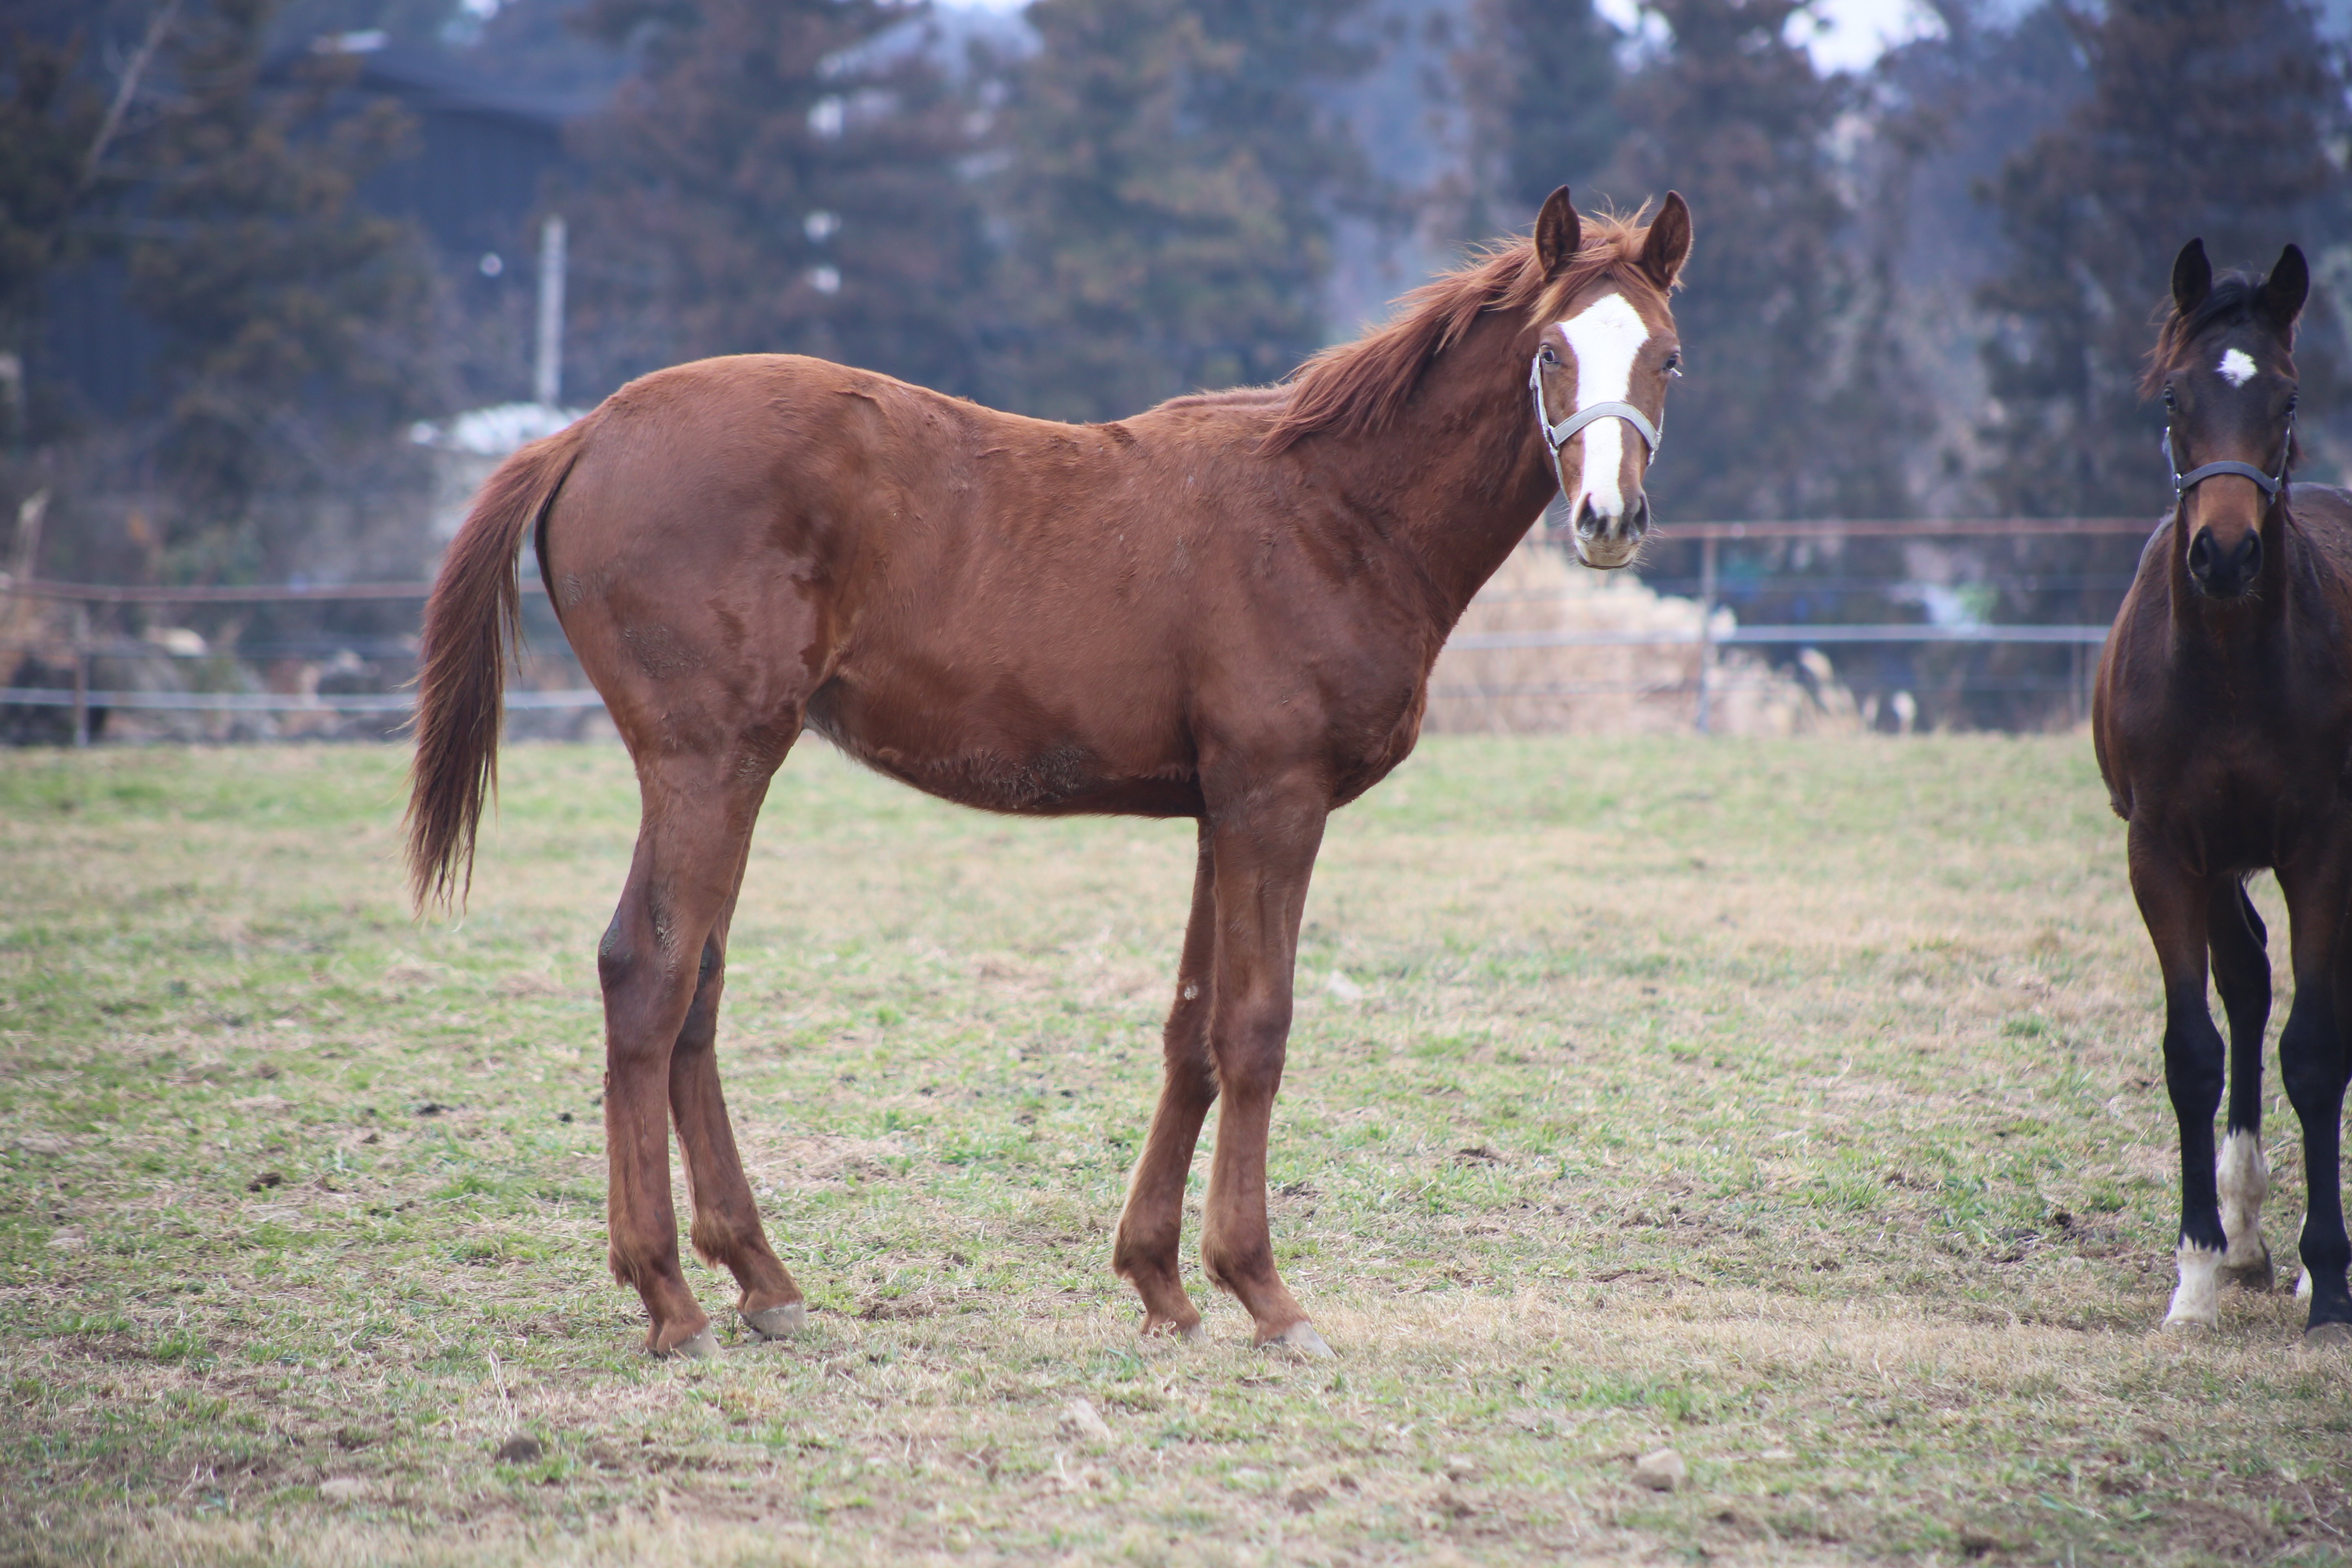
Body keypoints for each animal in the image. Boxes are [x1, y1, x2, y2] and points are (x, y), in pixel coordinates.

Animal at [409, 187, 1693, 1363]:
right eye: (1548, 351)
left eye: (1667, 355)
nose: (1608, 518)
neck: (1332, 512)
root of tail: (586, 431)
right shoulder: (1275, 802)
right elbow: (1257, 1027)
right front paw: (1266, 1293)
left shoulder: (1219, 811)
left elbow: (1192, 1031)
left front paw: (1162, 1282)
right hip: (707, 762)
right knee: (649, 974)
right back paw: (669, 1296)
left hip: (726, 769)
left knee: (697, 991)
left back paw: (762, 1280)